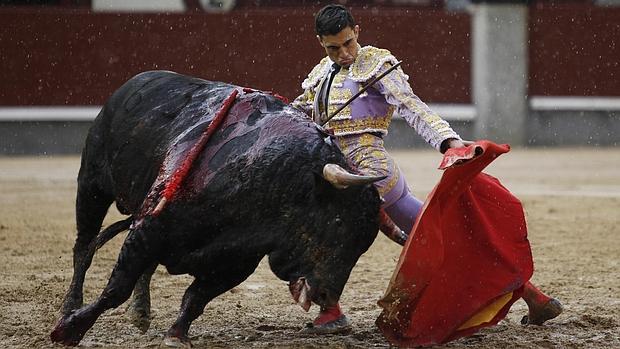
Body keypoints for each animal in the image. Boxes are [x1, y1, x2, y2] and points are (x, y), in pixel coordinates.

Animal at [53, 70, 392, 346]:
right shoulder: (150, 227)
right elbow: (117, 287)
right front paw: (69, 329)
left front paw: (176, 335)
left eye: (363, 245)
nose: (327, 296)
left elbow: (196, 298)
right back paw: (70, 305)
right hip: (92, 184)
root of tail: (132, 83)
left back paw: (140, 312)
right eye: (337, 223)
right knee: (83, 246)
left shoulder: (236, 262)